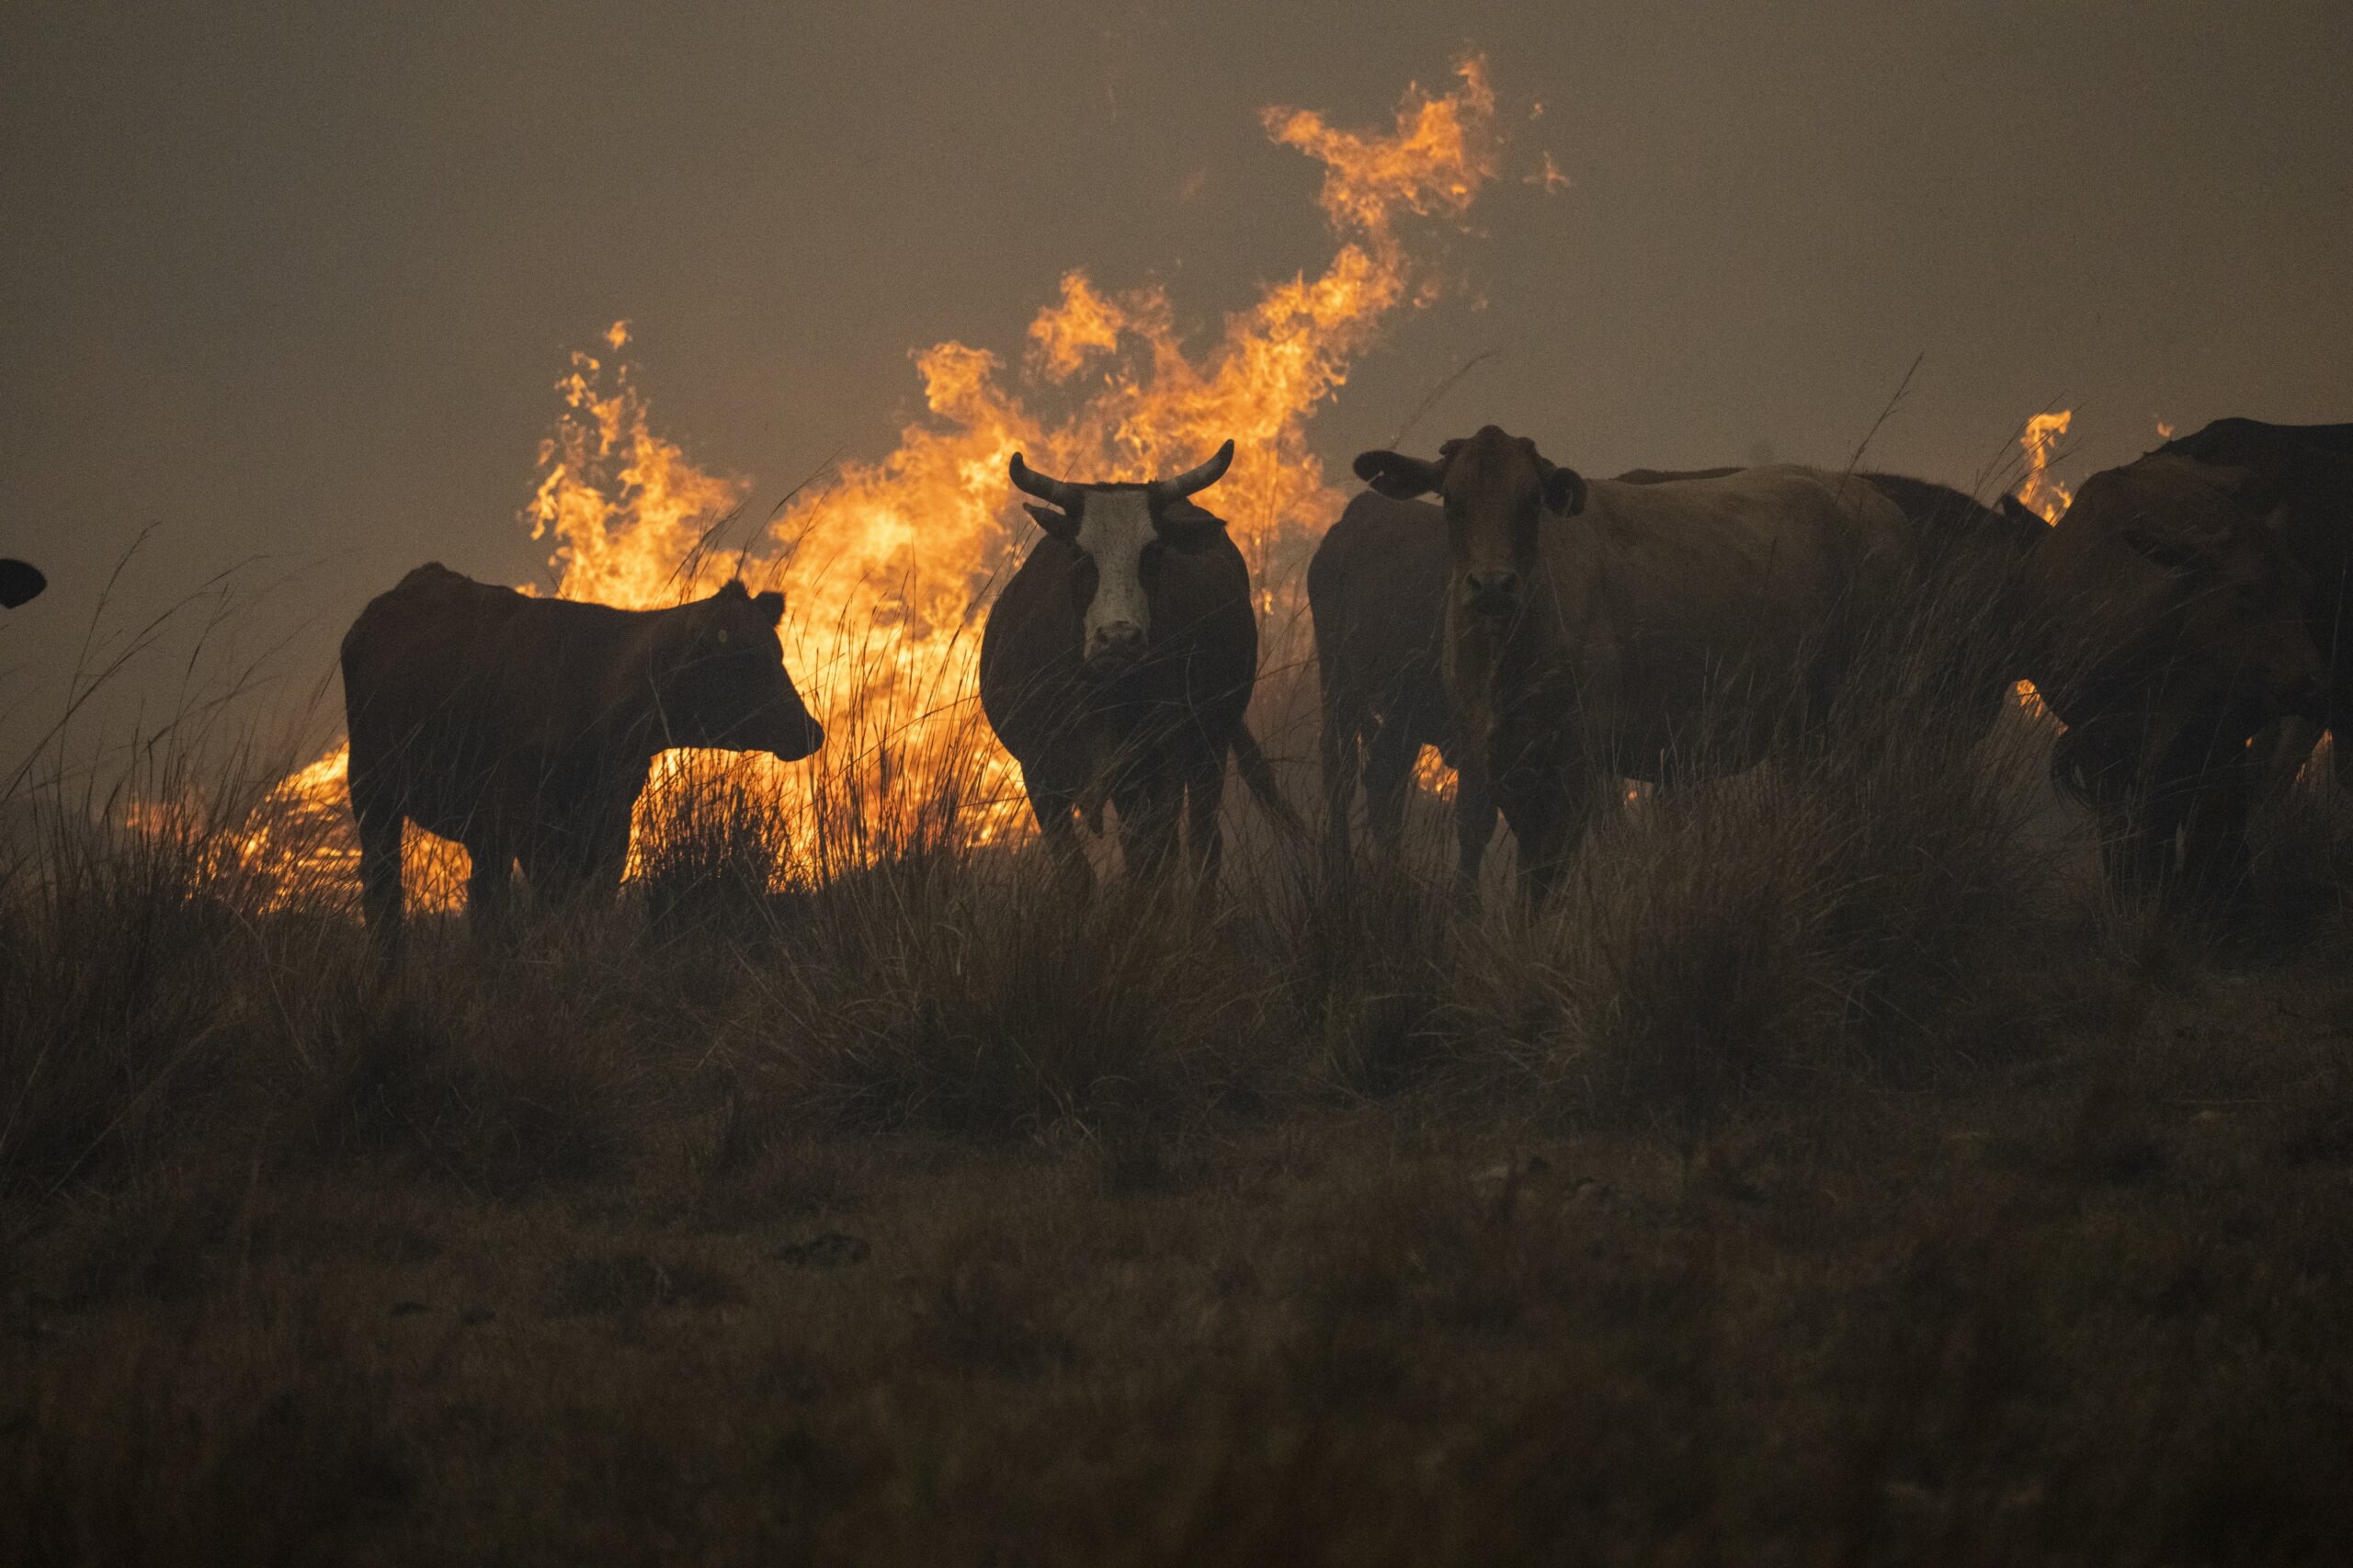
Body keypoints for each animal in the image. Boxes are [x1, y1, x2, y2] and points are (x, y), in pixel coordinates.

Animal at [341, 567, 828, 946]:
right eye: (746, 659)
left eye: (778, 653)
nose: (811, 730)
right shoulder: (532, 822)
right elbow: (554, 906)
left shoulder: (610, 822)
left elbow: (592, 905)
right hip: (372, 789)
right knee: (386, 892)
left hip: (483, 829)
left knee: (484, 901)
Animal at [978, 435, 1299, 890]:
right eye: (1078, 552)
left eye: (1154, 551)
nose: (1119, 638)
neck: (1102, 693)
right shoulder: (1041, 774)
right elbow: (1079, 874)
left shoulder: (1165, 762)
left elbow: (1154, 862)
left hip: (1206, 750)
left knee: (1200, 844)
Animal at [1346, 424, 1910, 903]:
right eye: (1451, 501)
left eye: (1532, 500)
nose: (1492, 585)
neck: (1504, 664)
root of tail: (1868, 501)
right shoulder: (1491, 753)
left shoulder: (1577, 759)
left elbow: (1548, 872)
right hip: (1804, 729)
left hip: (1865, 704)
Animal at [2023, 440, 2334, 903]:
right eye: (2244, 592)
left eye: (2303, 591)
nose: (2315, 685)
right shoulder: (2098, 744)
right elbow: (2125, 829)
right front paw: (2133, 893)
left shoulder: (2204, 736)